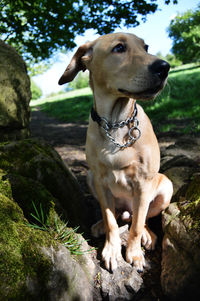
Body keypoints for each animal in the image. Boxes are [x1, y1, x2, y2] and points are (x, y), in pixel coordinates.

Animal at [58, 32, 173, 272]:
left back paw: (148, 235)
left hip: (165, 186)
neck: (115, 123)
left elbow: (137, 226)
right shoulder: (101, 182)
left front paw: (134, 253)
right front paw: (111, 250)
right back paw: (101, 224)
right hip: (91, 178)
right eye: (119, 48)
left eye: (146, 47)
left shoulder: (143, 184)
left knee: (141, 218)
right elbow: (111, 220)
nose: (164, 67)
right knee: (118, 215)